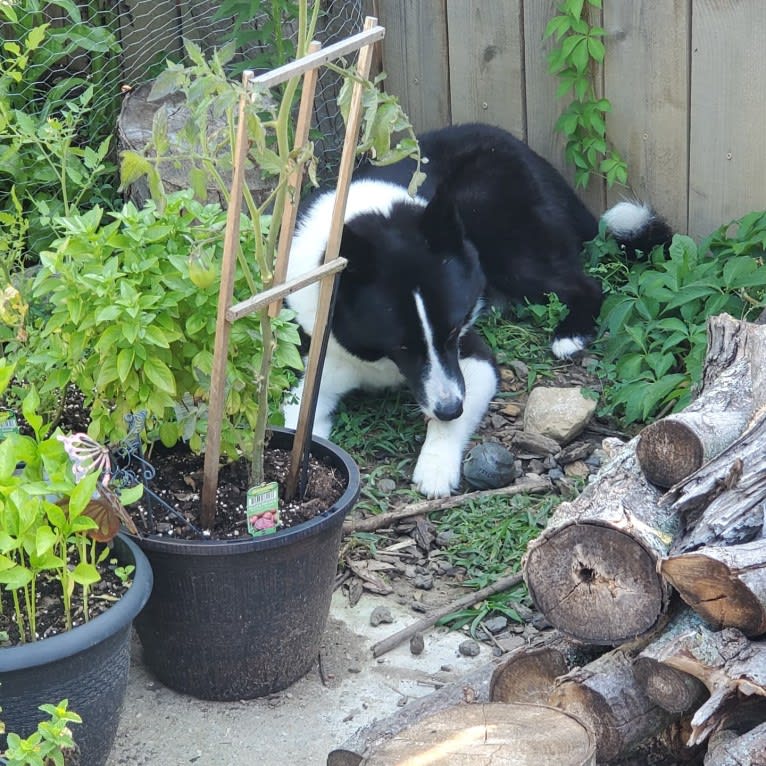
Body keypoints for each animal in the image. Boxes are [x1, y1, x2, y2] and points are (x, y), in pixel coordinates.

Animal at [284, 123, 672, 498]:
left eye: (454, 332)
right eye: (402, 345)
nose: (450, 408)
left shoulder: (472, 357)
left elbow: (453, 417)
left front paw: (436, 467)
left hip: (494, 225)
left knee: (587, 284)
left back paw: (570, 333)